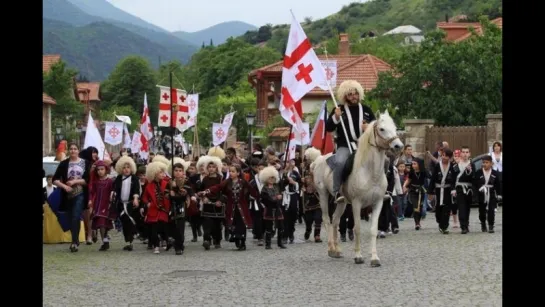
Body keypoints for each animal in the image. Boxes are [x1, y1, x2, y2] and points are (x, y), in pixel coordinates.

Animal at [310, 110, 404, 268]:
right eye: (382, 129)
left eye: (395, 127)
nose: (398, 146)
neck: (370, 172)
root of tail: (318, 159)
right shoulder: (356, 203)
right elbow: (357, 228)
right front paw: (358, 256)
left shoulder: (378, 203)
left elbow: (373, 229)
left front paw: (374, 258)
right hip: (323, 195)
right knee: (327, 219)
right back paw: (331, 249)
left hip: (341, 202)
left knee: (335, 220)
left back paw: (337, 250)